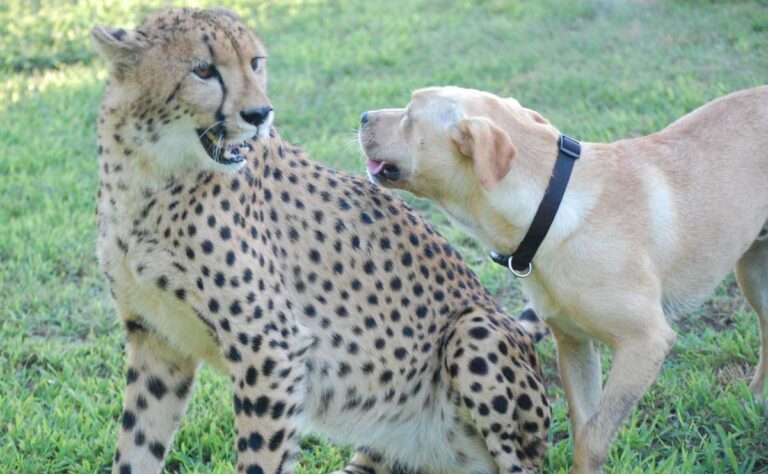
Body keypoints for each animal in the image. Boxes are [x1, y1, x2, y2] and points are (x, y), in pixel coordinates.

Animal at [93, 8, 548, 474]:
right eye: (203, 70)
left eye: (254, 63)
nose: (260, 113)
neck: (149, 176)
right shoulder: (157, 339)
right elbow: (135, 447)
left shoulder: (272, 350)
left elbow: (258, 458)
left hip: (472, 330)